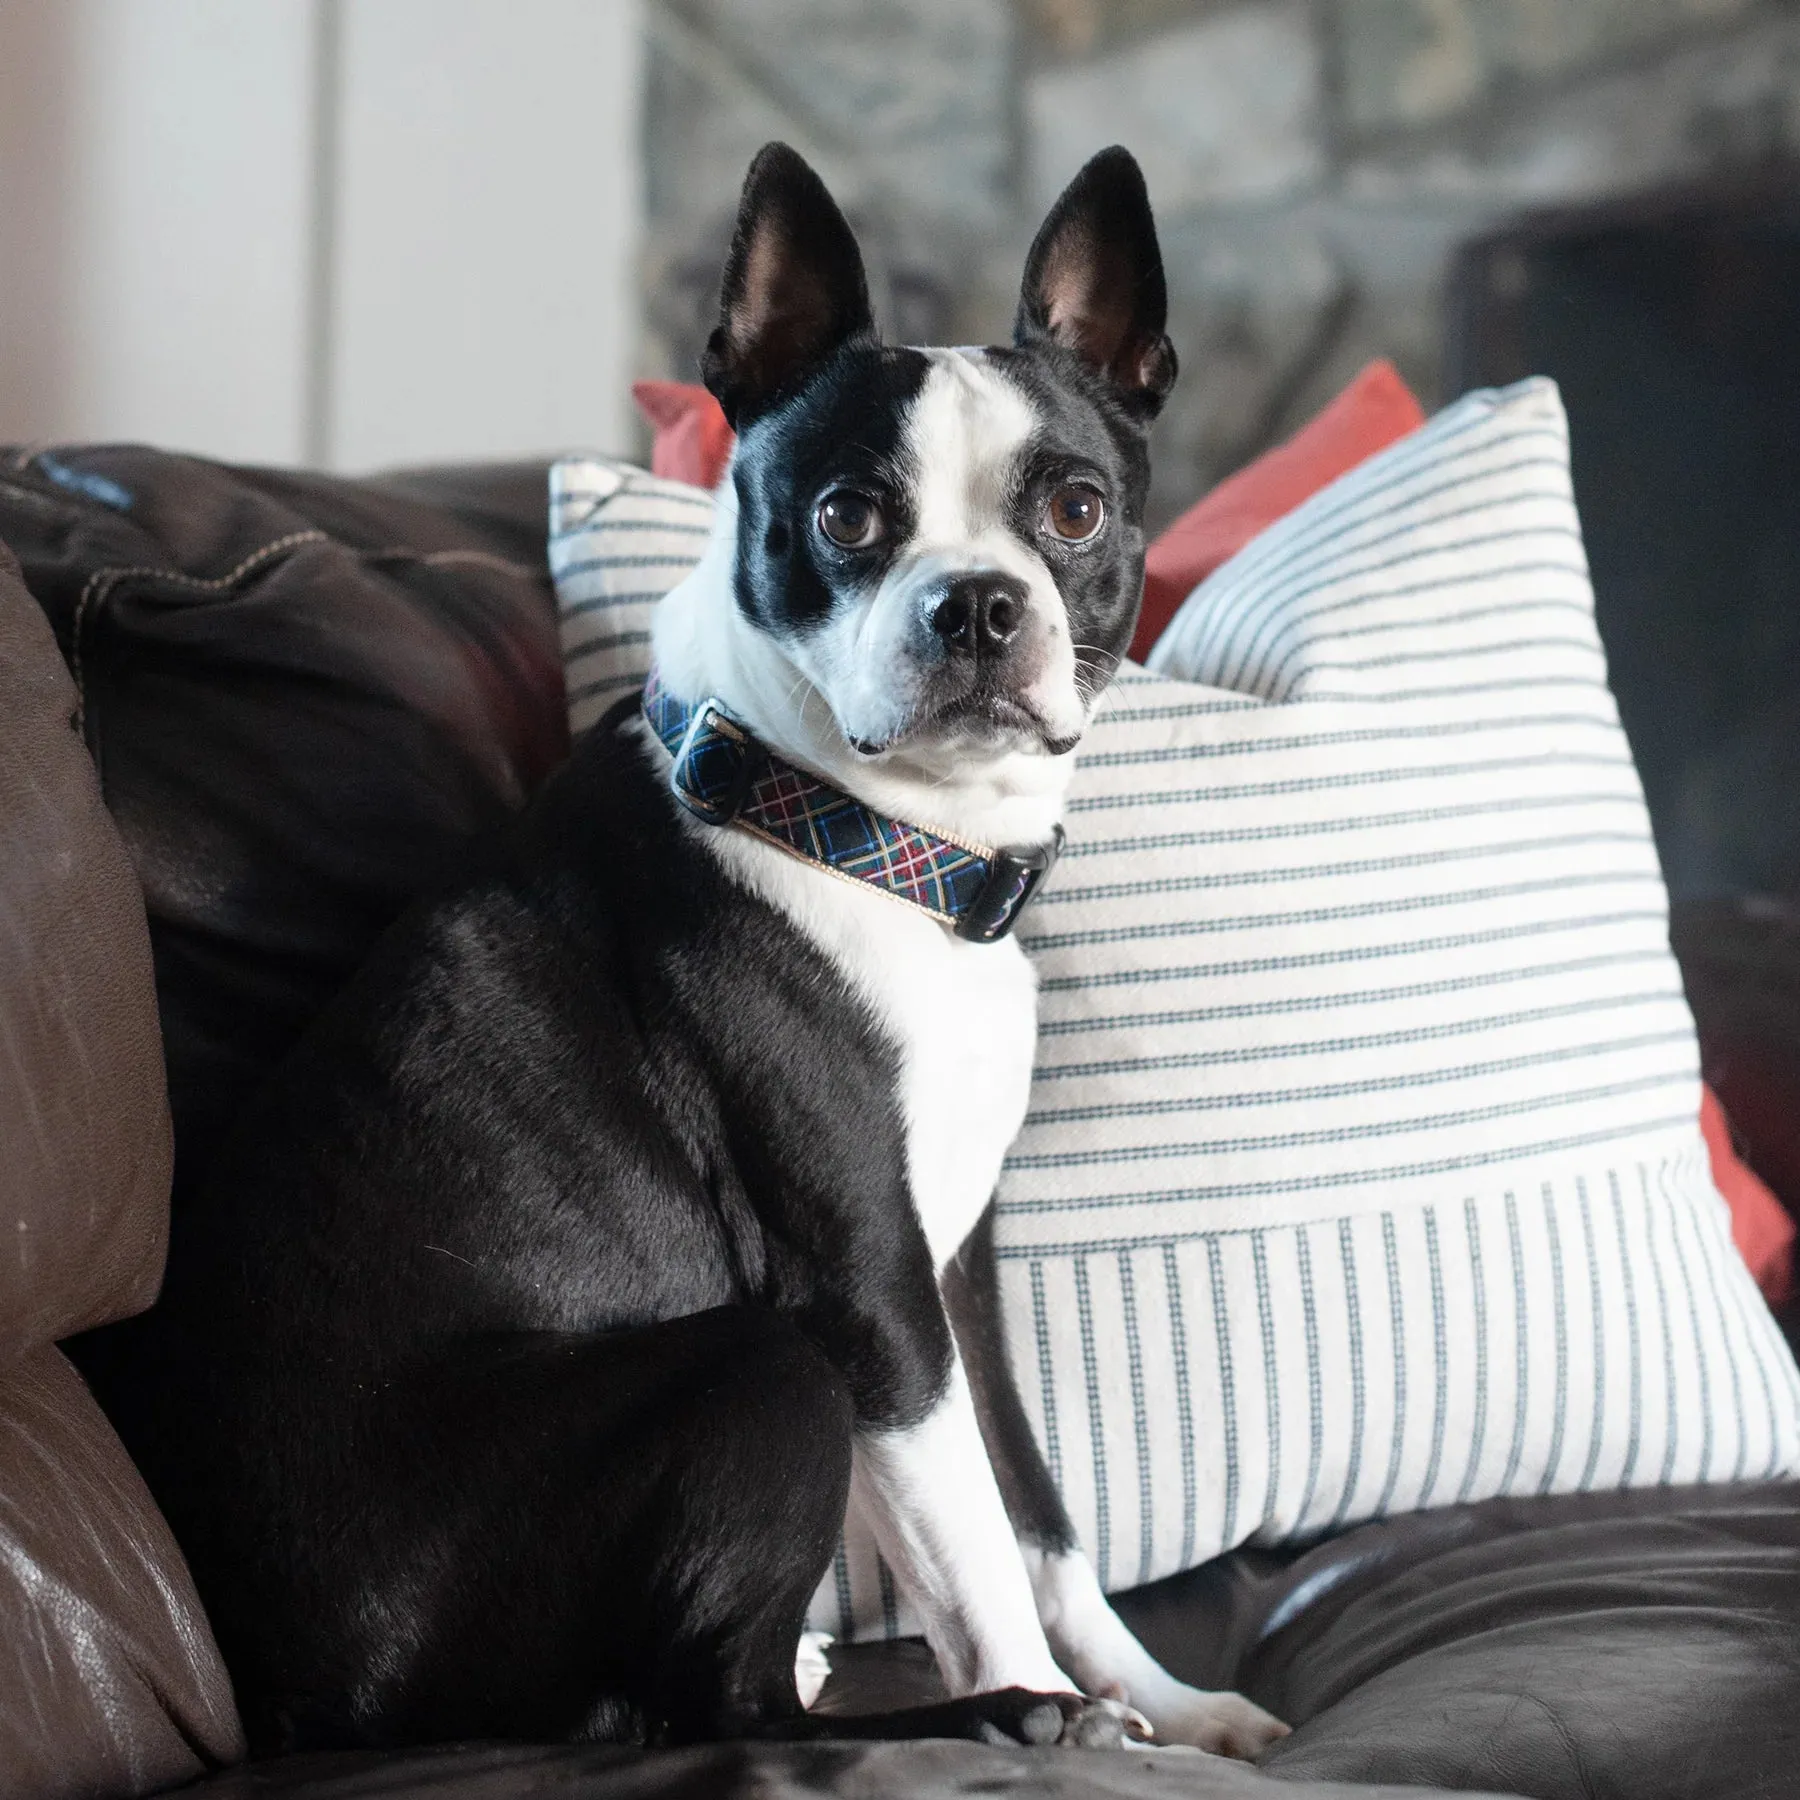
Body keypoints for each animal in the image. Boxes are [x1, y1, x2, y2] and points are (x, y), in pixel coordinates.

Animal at [116, 140, 1281, 1756]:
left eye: (1077, 511)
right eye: (847, 517)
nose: (978, 604)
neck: (881, 844)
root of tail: (302, 1694)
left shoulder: (955, 1268)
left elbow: (1037, 1507)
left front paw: (1160, 1698)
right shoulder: (862, 1286)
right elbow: (973, 1542)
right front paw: (1042, 1698)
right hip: (764, 1365)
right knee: (717, 1706)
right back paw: (972, 1718)